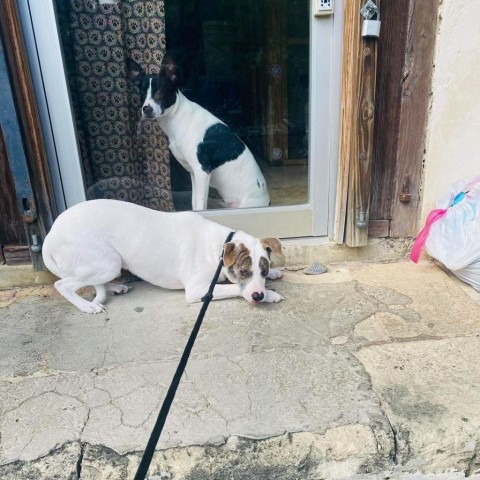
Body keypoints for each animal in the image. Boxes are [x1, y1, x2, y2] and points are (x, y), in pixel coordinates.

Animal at [42, 200, 284, 316]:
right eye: (244, 272)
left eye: (262, 271)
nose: (258, 296)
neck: (218, 250)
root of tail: (51, 234)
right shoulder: (197, 290)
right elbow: (235, 288)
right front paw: (270, 294)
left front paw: (274, 274)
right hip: (107, 263)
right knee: (63, 284)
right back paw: (86, 306)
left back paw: (115, 287)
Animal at [127, 57, 270, 211]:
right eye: (142, 93)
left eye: (160, 92)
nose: (146, 109)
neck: (178, 116)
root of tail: (268, 202)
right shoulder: (193, 172)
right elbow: (195, 204)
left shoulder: (202, 171)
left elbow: (201, 205)